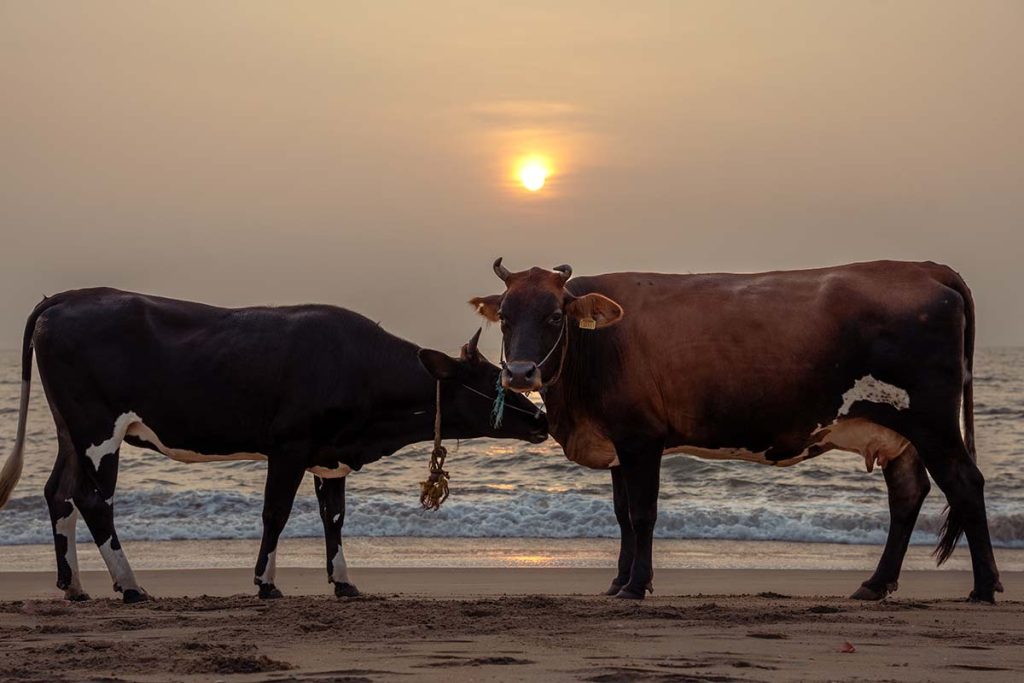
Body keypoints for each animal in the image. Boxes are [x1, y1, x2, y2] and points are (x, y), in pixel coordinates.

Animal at [0, 288, 548, 602]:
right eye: (490, 379)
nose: (542, 416)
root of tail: (67, 298)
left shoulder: (329, 453)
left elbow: (334, 517)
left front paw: (344, 582)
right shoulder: (289, 444)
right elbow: (276, 512)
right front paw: (266, 582)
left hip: (70, 430)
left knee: (58, 493)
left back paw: (74, 586)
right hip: (98, 430)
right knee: (93, 499)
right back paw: (130, 585)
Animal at [475, 259, 1003, 602]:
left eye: (554, 316)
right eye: (505, 317)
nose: (519, 373)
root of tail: (925, 267)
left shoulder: (641, 438)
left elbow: (643, 515)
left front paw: (636, 586)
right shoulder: (618, 443)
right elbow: (622, 516)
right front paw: (618, 582)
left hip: (932, 421)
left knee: (964, 484)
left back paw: (984, 587)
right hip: (898, 431)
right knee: (908, 494)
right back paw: (875, 585)